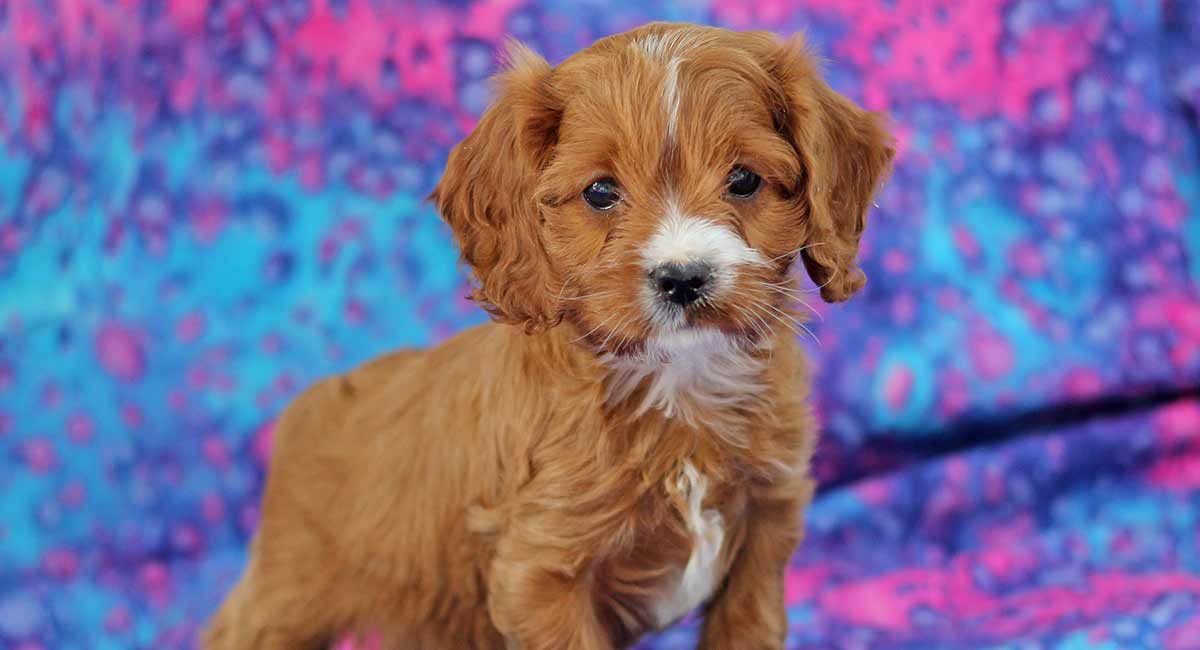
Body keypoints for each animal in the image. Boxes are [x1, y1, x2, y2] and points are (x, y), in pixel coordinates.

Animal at [204, 22, 892, 650]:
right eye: (601, 192)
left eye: (744, 180)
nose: (682, 278)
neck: (678, 381)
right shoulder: (540, 575)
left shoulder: (766, 524)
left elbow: (748, 625)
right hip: (291, 589)